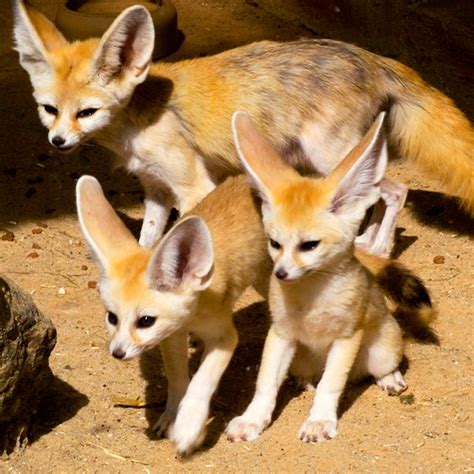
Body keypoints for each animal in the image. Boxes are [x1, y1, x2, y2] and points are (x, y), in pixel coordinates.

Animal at [12, 1, 472, 258]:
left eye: (87, 112)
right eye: (49, 110)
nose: (58, 141)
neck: (138, 121)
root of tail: (370, 56)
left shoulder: (194, 186)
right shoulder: (156, 189)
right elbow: (147, 238)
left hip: (328, 157)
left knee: (395, 191)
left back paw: (380, 247)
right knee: (377, 194)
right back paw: (369, 241)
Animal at [224, 112, 436, 444]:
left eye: (310, 245)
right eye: (274, 243)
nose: (280, 273)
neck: (312, 299)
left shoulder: (346, 337)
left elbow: (331, 384)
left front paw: (319, 422)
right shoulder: (281, 334)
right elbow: (265, 384)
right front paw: (252, 419)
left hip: (380, 350)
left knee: (377, 369)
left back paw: (390, 378)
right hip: (301, 358)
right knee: (309, 375)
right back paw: (304, 381)